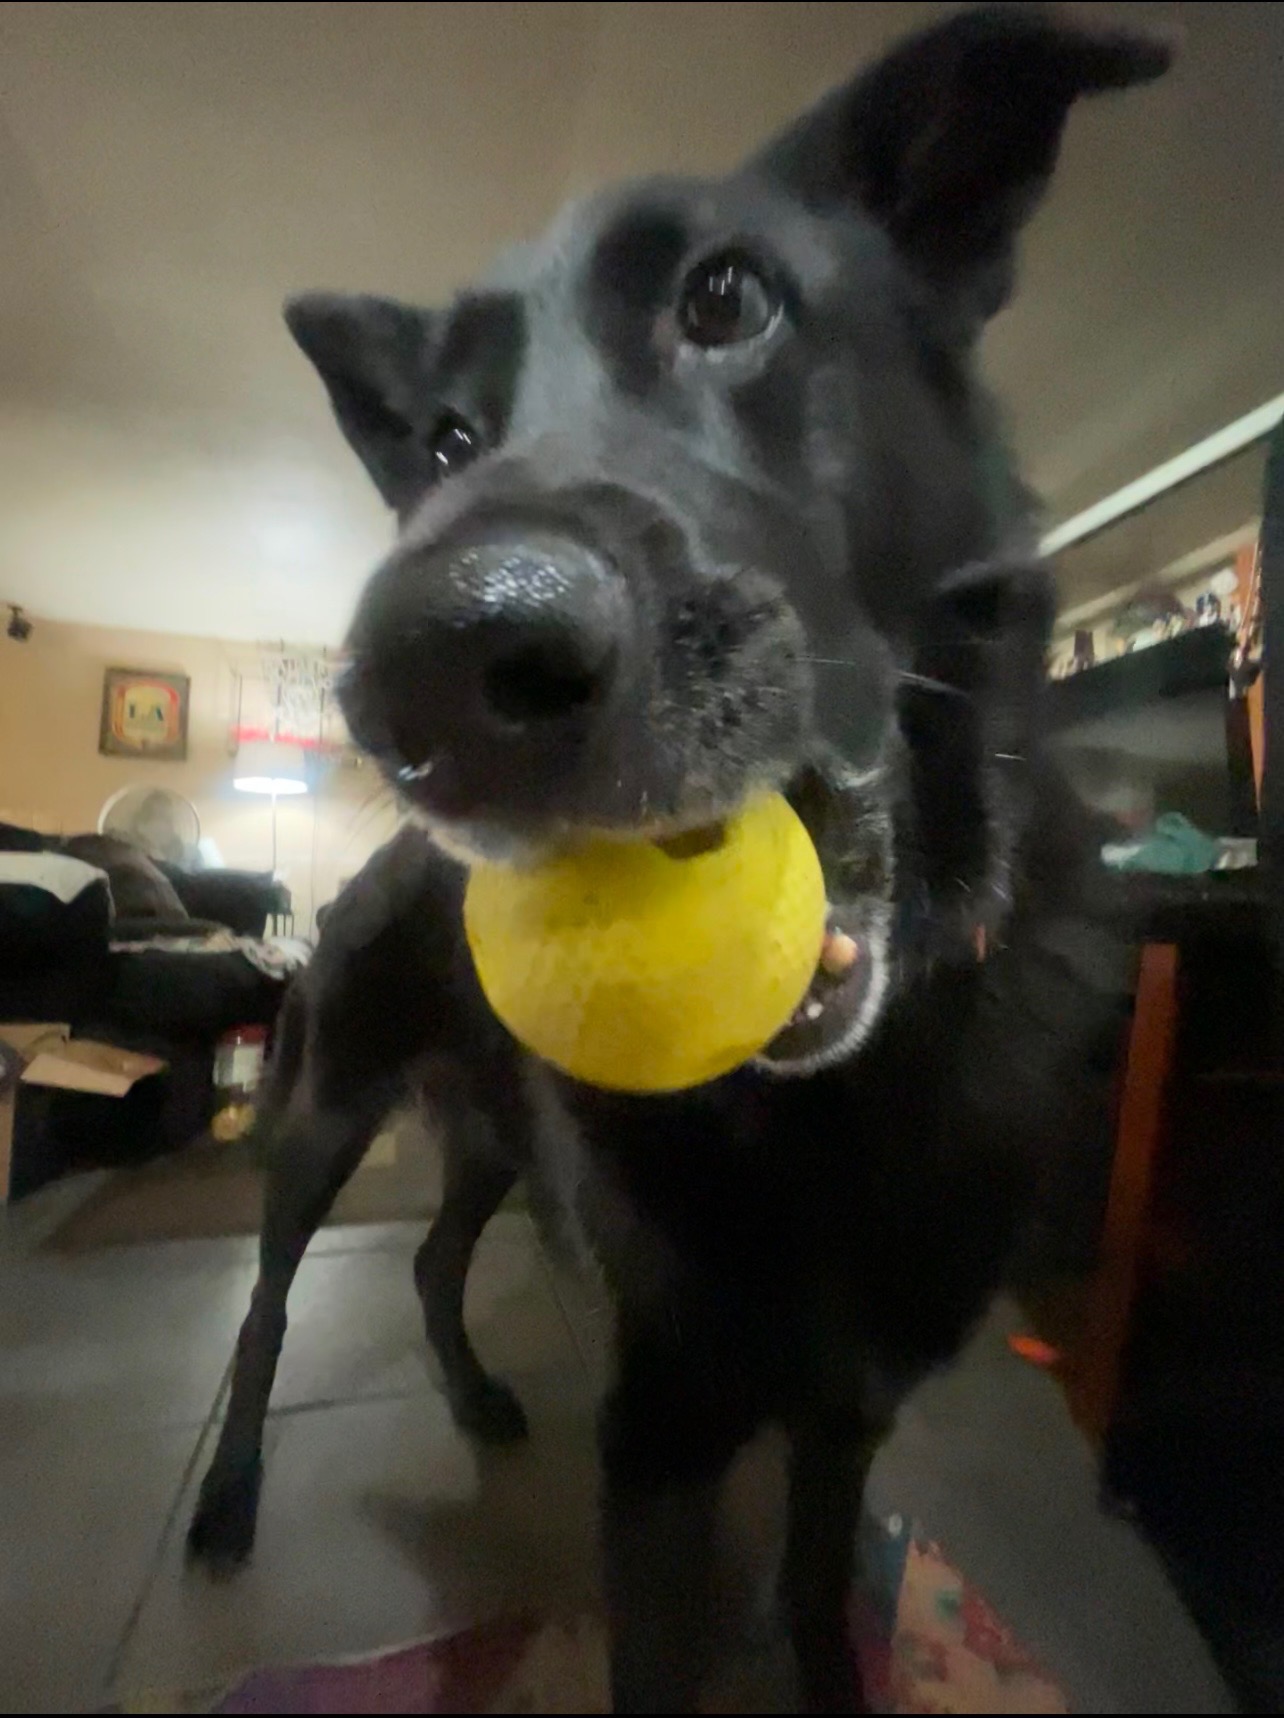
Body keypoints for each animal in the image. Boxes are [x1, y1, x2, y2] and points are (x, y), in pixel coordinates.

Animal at [188, 9, 1167, 1709]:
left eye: (727, 300)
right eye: (445, 438)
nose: (426, 684)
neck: (842, 1097)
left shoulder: (848, 1410)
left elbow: (822, 1595)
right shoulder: (658, 1444)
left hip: (496, 1139)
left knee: (436, 1258)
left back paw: (475, 1392)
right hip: (323, 1117)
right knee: (266, 1305)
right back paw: (234, 1487)